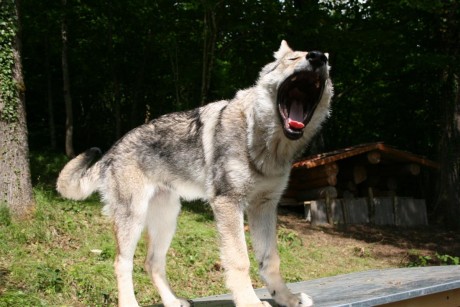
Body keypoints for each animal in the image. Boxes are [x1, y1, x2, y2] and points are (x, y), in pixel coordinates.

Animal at [57, 41, 334, 307]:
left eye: (327, 66)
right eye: (293, 58)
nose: (318, 56)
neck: (262, 143)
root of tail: (112, 150)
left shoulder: (264, 206)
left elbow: (270, 259)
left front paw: (287, 298)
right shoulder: (228, 203)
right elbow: (240, 260)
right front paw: (250, 302)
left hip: (168, 221)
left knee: (152, 263)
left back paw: (172, 302)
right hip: (133, 221)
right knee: (122, 263)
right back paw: (131, 304)